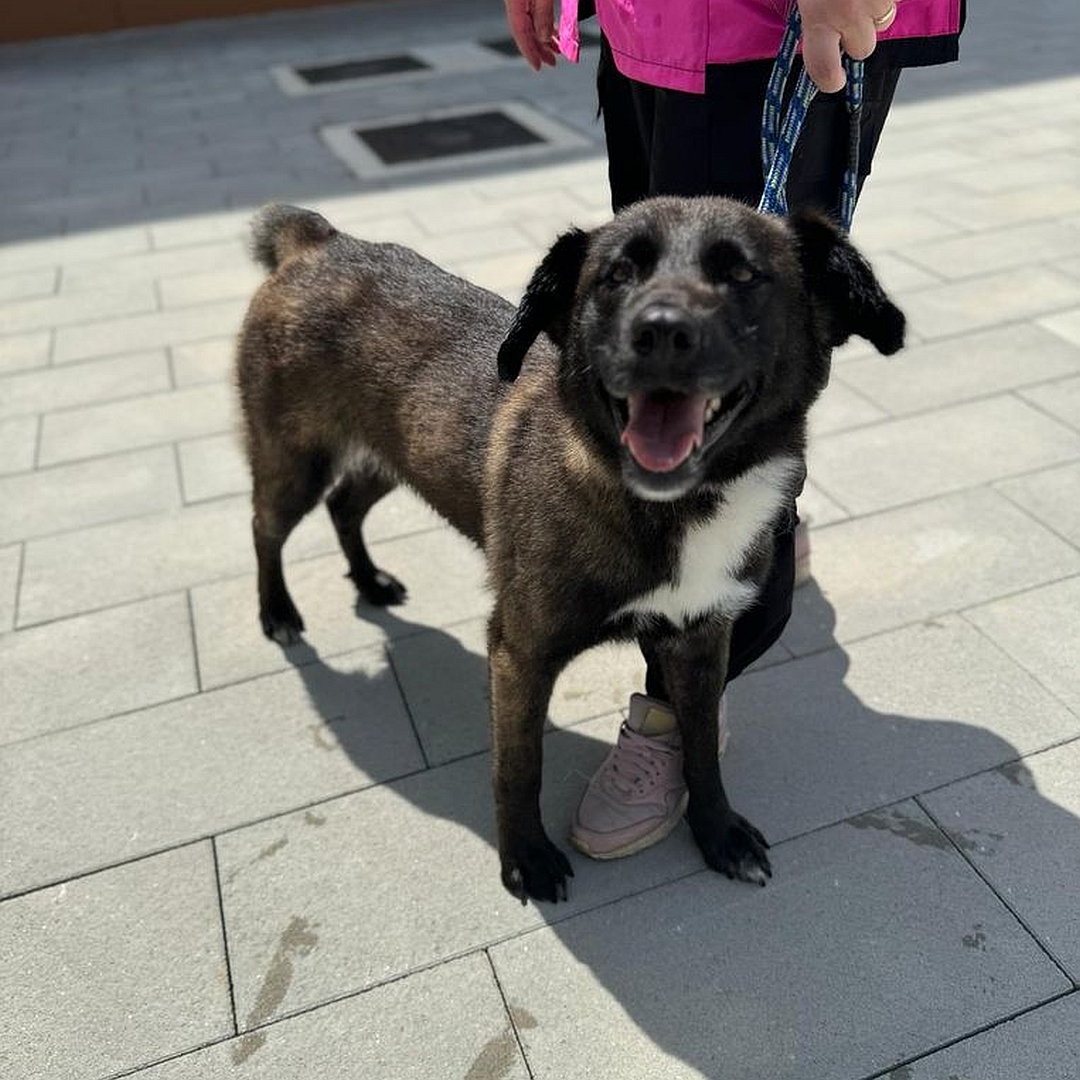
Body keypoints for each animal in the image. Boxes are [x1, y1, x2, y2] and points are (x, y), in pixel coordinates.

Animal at [238, 196, 902, 902]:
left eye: (744, 275)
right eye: (615, 275)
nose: (661, 332)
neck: (672, 505)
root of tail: (319, 240)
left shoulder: (699, 639)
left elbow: (700, 749)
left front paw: (718, 832)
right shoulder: (519, 653)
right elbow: (520, 764)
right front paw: (525, 857)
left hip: (395, 453)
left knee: (344, 505)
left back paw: (369, 581)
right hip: (295, 459)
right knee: (264, 527)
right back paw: (278, 614)